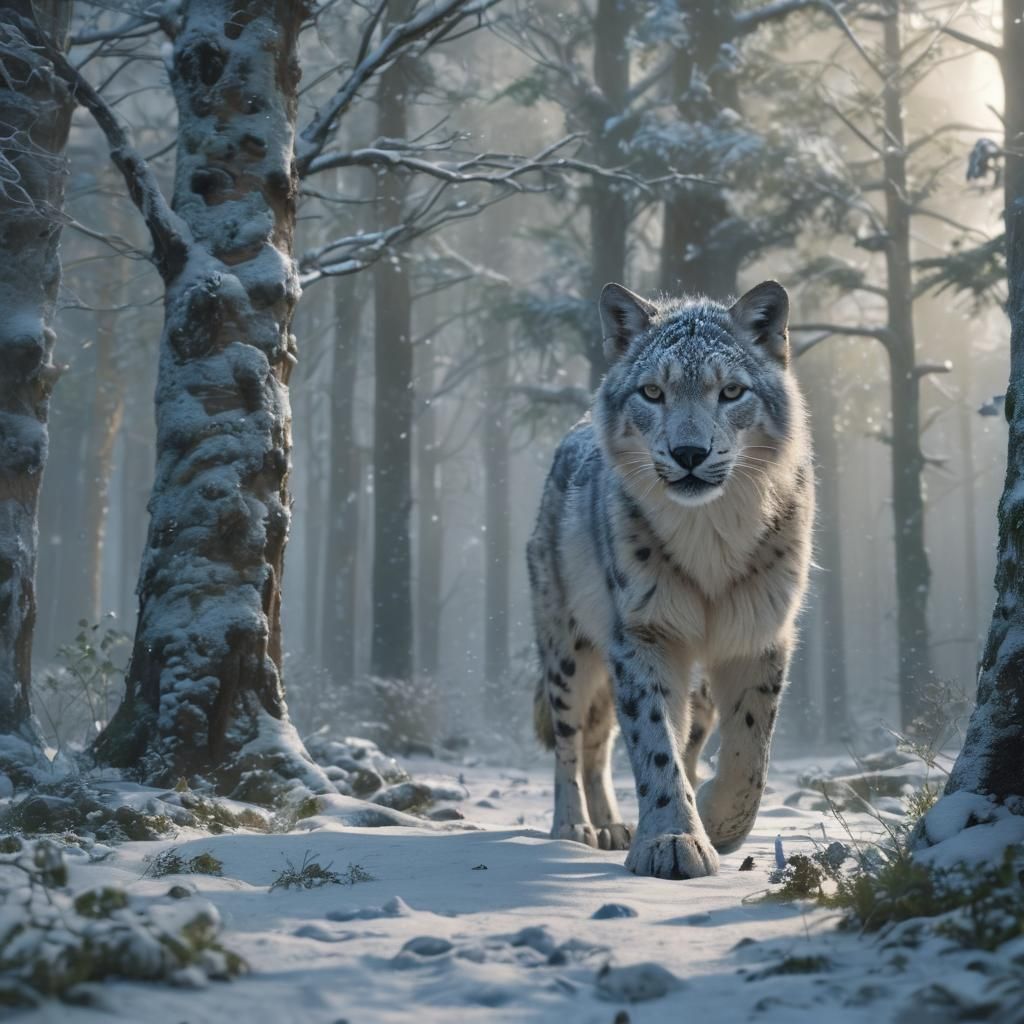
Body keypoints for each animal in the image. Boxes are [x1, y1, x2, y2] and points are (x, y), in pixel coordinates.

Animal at [527, 280, 813, 879]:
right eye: (653, 392)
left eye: (731, 390)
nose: (688, 452)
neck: (711, 538)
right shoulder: (643, 631)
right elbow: (654, 741)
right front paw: (674, 842)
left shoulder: (760, 630)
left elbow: (752, 748)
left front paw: (718, 822)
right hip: (567, 644)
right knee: (572, 736)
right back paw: (575, 826)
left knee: (610, 738)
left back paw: (614, 825)